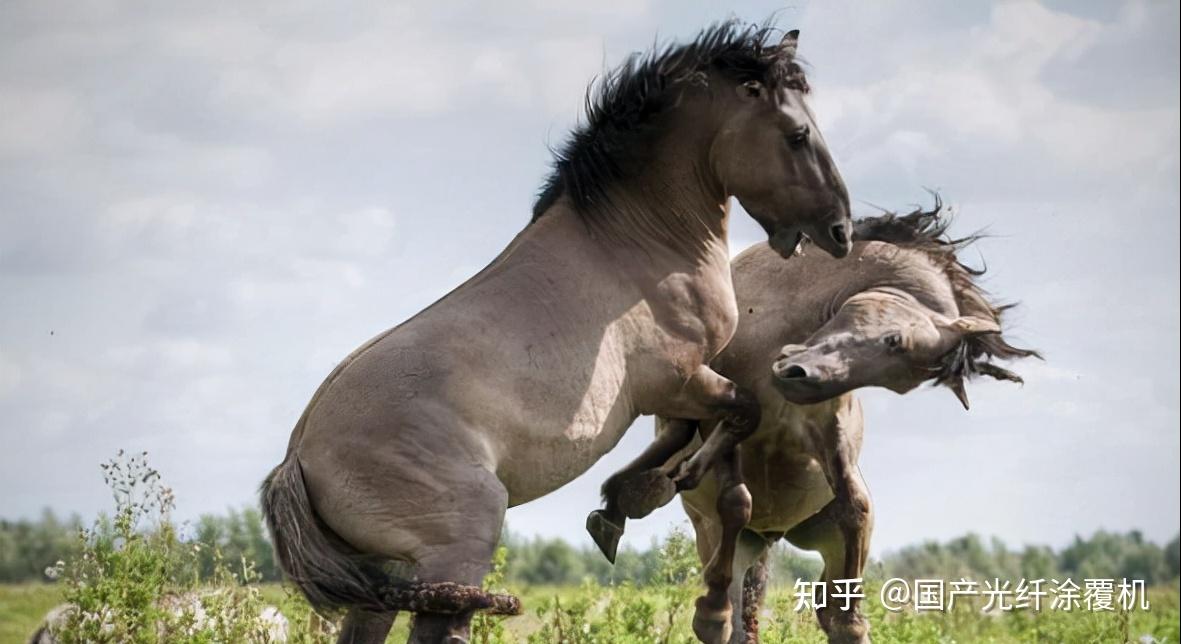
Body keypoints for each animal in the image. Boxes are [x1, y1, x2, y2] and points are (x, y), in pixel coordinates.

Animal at [261, 21, 850, 642]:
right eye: (797, 135)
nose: (839, 230)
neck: (638, 240)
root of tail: (296, 459)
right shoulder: (682, 380)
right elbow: (739, 424)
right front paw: (657, 496)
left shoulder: (679, 390)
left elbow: (703, 434)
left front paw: (623, 502)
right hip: (462, 542)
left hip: (384, 576)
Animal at [595, 204, 1039, 642]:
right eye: (893, 341)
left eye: (900, 380)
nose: (796, 377)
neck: (777, 312)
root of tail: (770, 534)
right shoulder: (721, 417)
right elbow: (736, 500)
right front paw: (711, 612)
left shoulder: (828, 432)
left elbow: (854, 506)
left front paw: (852, 620)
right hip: (715, 534)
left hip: (818, 538)